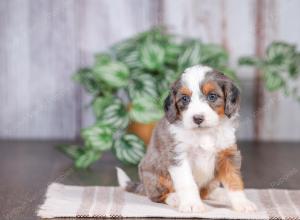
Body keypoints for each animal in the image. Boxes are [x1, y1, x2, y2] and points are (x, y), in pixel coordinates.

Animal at [116, 65, 256, 213]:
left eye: (212, 96)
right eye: (184, 99)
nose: (198, 118)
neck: (204, 133)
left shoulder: (227, 155)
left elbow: (234, 180)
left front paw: (242, 203)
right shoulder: (178, 155)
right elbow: (187, 183)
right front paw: (192, 204)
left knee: (205, 192)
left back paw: (220, 194)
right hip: (154, 175)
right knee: (157, 196)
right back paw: (175, 198)